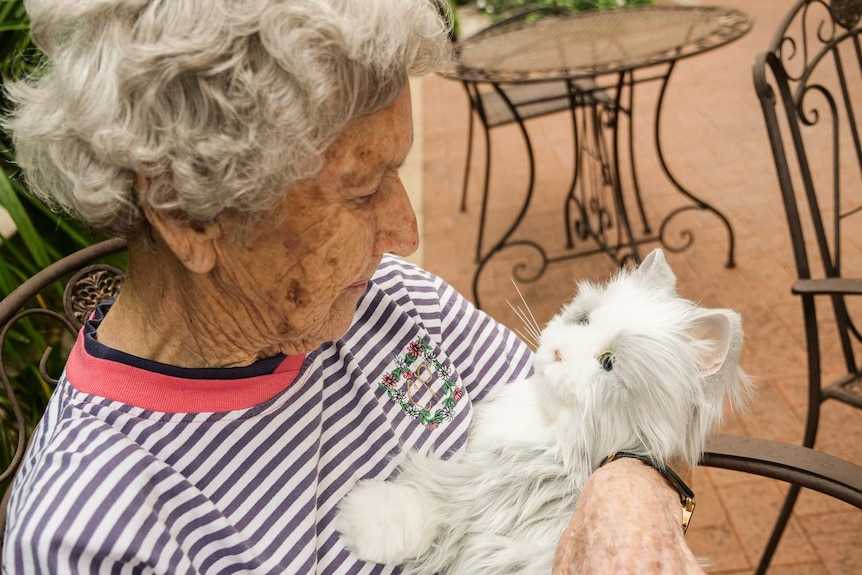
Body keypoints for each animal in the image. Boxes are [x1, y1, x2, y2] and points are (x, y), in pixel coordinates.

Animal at [338, 251, 748, 575]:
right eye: (583, 321)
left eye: (609, 363)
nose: (558, 354)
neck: (551, 433)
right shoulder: (478, 483)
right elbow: (425, 508)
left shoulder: (486, 494)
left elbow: (435, 506)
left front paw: (357, 513)